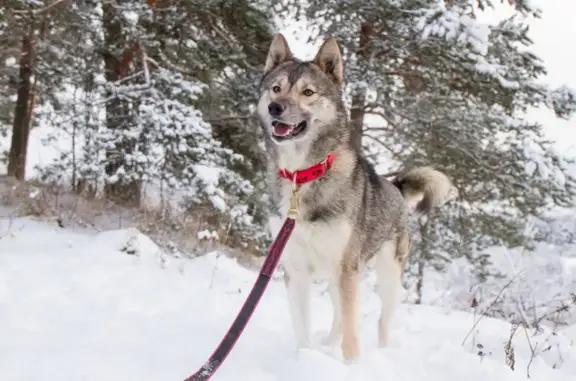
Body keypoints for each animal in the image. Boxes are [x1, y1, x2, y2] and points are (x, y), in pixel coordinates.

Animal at [258, 33, 454, 360]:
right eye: (276, 88)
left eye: (308, 92)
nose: (275, 108)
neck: (302, 175)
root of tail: (396, 187)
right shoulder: (295, 270)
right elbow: (302, 329)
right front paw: (307, 358)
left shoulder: (345, 269)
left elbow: (352, 335)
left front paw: (351, 365)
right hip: (339, 278)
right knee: (340, 316)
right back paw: (328, 345)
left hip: (386, 278)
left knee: (380, 321)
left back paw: (383, 352)